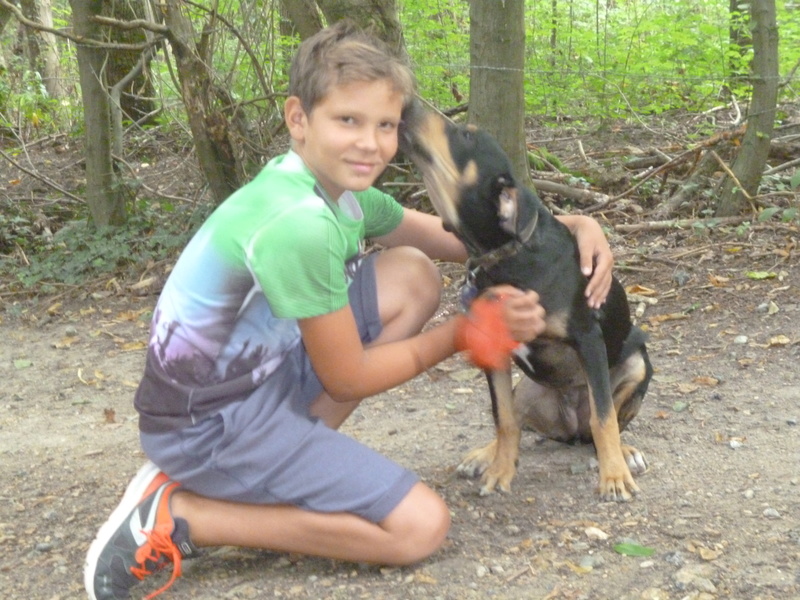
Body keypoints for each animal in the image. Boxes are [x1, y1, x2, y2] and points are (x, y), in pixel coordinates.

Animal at [404, 104, 652, 502]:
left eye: (466, 135)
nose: (406, 104)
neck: (504, 257)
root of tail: (569, 428)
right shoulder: (493, 347)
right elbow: (503, 420)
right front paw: (500, 470)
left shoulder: (589, 339)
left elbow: (604, 418)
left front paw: (613, 477)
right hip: (526, 390)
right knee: (520, 421)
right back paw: (485, 455)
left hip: (638, 363)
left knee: (603, 421)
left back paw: (623, 454)